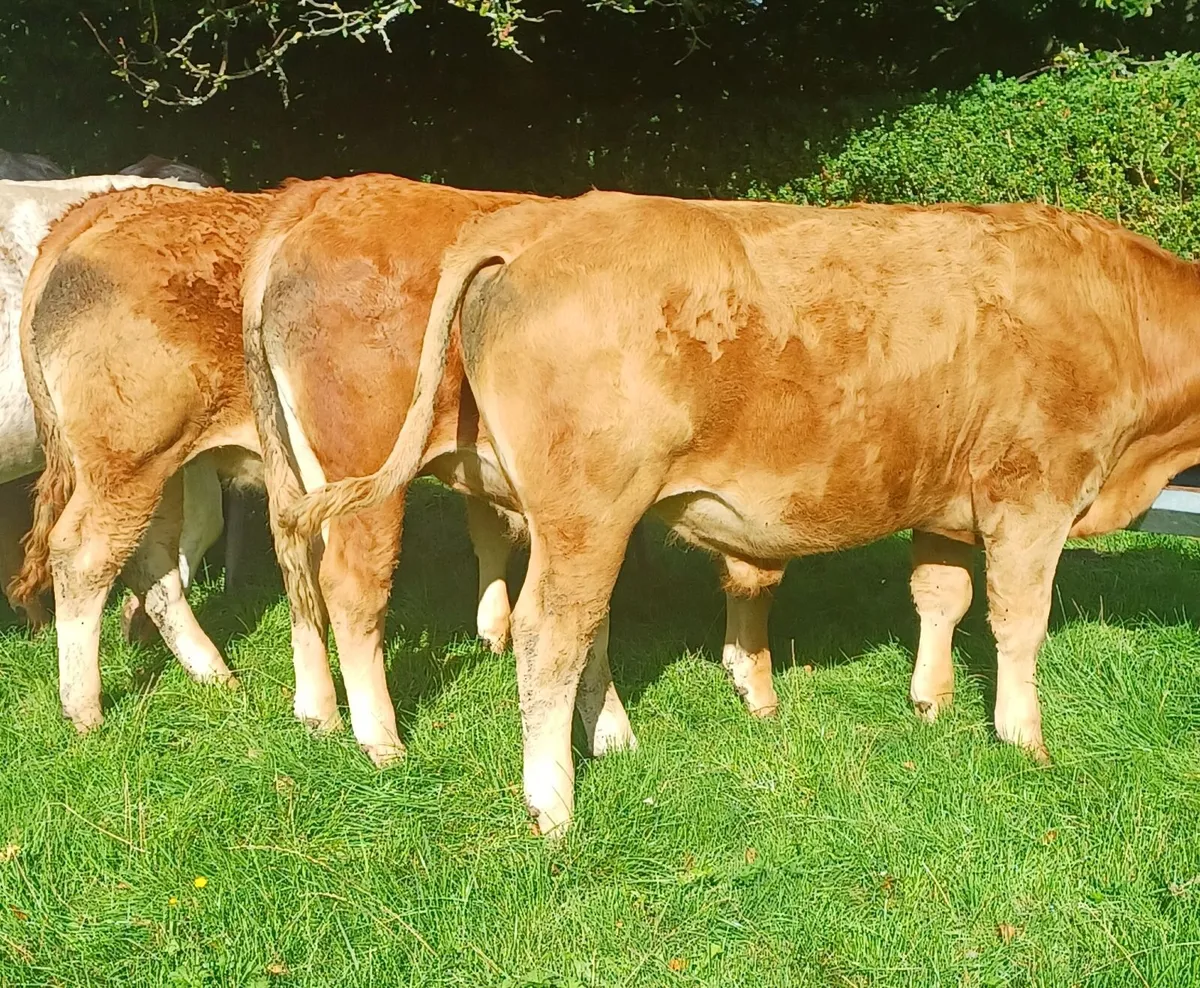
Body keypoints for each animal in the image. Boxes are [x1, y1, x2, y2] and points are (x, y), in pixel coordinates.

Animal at [283, 191, 1200, 835]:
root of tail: (541, 221)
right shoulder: (1034, 491)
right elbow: (1019, 622)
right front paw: (1023, 740)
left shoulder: (945, 500)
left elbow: (943, 598)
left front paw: (932, 703)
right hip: (580, 508)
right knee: (539, 629)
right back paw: (537, 799)